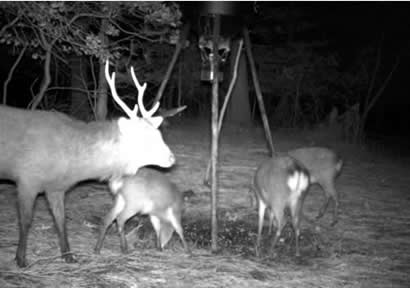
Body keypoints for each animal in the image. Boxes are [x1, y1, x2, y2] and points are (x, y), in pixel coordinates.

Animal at [0, 60, 179, 268]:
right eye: (143, 138)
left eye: (159, 134)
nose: (171, 158)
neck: (70, 163)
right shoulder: (27, 179)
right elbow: (26, 221)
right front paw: (21, 259)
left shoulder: (56, 187)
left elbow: (60, 219)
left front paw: (69, 256)